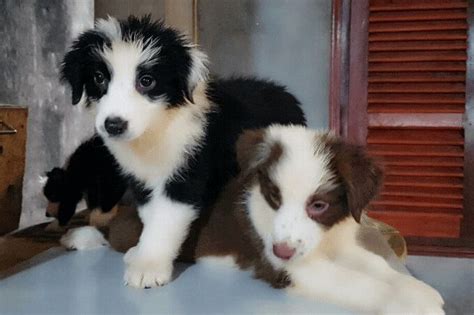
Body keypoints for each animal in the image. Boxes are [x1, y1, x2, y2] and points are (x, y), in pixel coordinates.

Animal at [59, 16, 306, 288]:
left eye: (147, 80)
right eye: (99, 78)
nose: (114, 125)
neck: (158, 127)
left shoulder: (186, 177)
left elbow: (164, 221)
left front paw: (148, 266)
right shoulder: (142, 181)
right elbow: (150, 215)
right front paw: (141, 252)